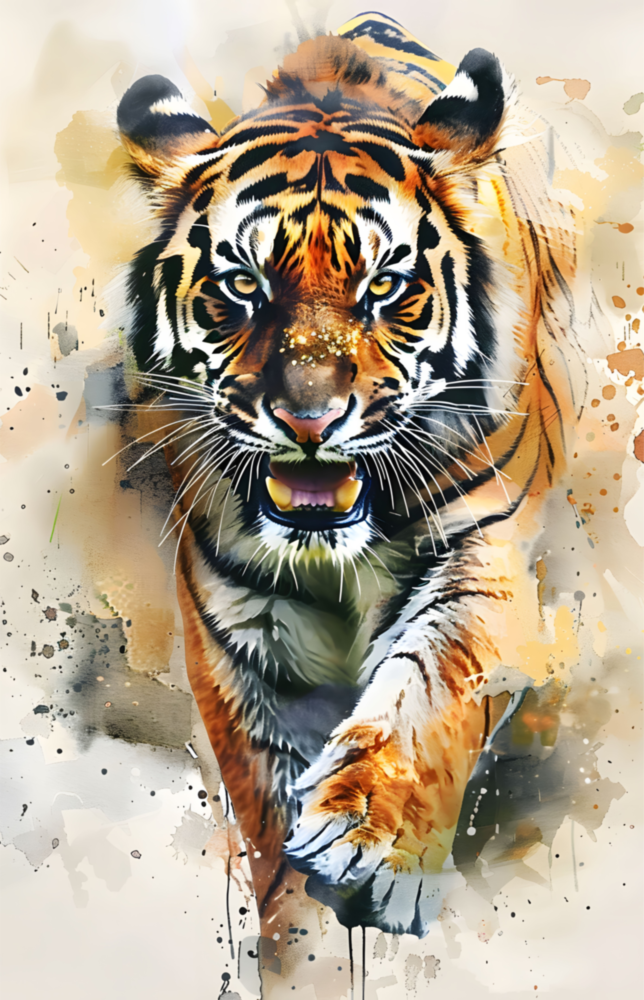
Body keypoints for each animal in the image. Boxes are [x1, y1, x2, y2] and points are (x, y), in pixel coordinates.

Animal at [116, 12, 584, 943]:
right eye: (242, 285)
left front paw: (370, 834)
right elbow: (261, 789)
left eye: (385, 286)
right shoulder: (238, 616)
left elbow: (433, 685)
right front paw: (293, 914)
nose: (309, 418)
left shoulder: (484, 550)